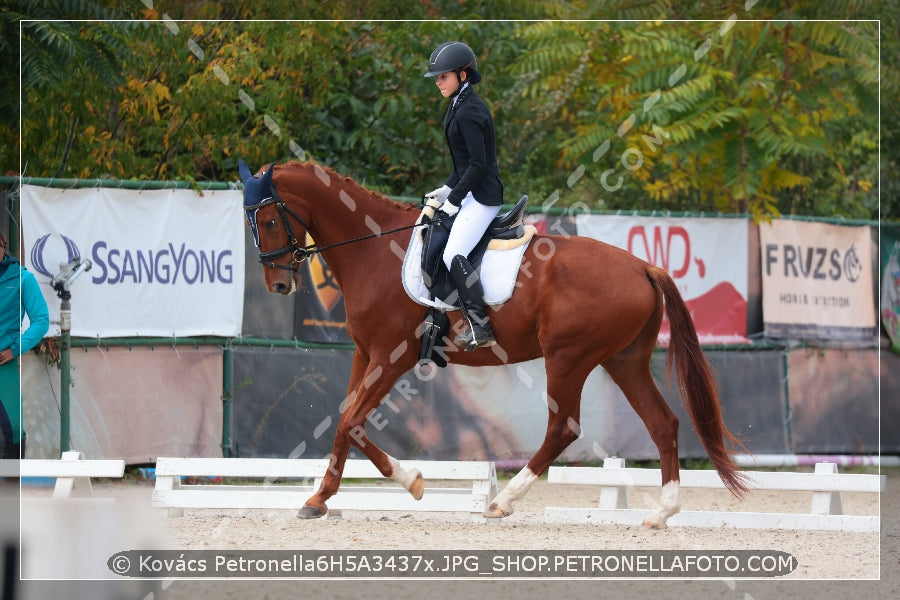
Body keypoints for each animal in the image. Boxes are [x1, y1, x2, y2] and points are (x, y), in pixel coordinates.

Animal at [237, 161, 744, 528]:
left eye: (269, 218)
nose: (278, 284)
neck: (373, 249)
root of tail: (643, 266)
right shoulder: (365, 354)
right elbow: (348, 423)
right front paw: (320, 498)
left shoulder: (391, 357)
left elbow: (351, 421)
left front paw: (412, 482)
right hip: (625, 360)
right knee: (662, 423)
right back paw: (661, 512)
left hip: (568, 358)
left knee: (563, 429)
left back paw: (503, 502)